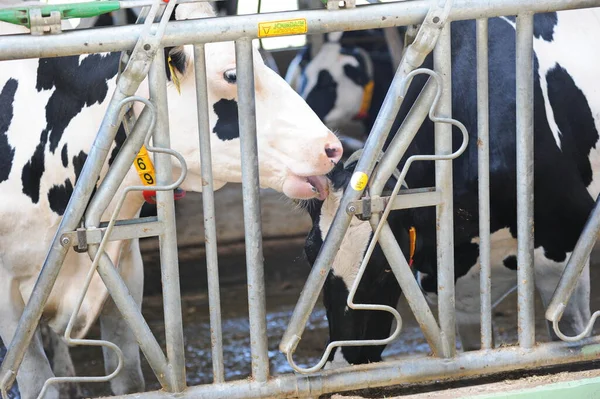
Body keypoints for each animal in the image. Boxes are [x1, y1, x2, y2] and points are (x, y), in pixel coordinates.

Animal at [0, 3, 342, 399]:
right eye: (231, 74)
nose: (332, 147)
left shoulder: (125, 266)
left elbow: (129, 378)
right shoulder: (7, 298)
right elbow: (35, 379)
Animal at [304, 8, 600, 368]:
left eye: (384, 269)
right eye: (311, 257)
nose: (341, 362)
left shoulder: (565, 239)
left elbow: (570, 335)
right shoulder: (453, 283)